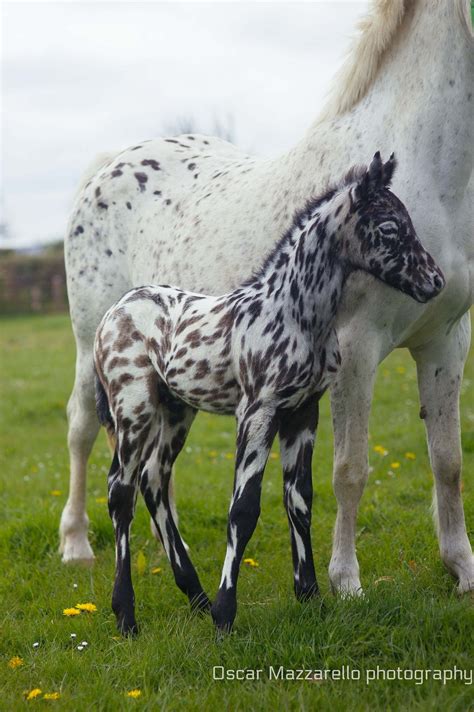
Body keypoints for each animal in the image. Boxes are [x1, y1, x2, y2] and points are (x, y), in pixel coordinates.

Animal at [93, 152, 444, 636]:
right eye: (391, 227)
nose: (435, 281)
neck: (293, 313)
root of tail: (115, 310)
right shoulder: (257, 411)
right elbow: (243, 509)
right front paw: (225, 615)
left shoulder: (303, 412)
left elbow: (300, 499)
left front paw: (310, 596)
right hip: (133, 409)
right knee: (120, 492)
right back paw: (128, 615)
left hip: (177, 411)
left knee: (153, 480)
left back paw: (195, 596)